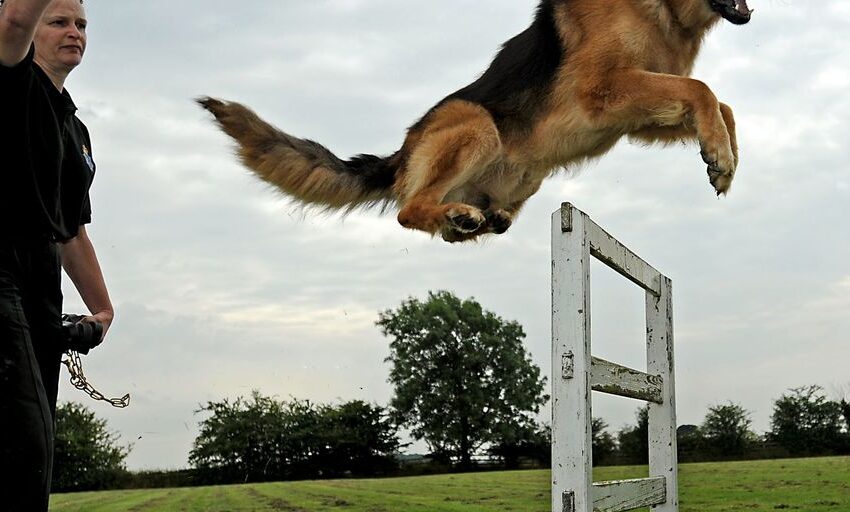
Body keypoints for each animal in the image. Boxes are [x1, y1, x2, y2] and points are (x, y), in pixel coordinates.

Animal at [197, 0, 748, 243]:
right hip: (476, 123)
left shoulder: (636, 113)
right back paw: (455, 215)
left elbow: (721, 106)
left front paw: (723, 158)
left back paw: (469, 219)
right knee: (408, 210)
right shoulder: (605, 92)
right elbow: (703, 90)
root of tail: (399, 156)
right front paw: (720, 155)